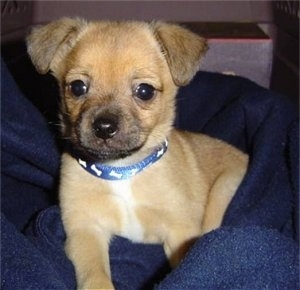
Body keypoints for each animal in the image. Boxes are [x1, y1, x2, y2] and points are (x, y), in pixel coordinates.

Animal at [27, 18, 248, 290]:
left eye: (144, 91)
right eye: (77, 87)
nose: (104, 127)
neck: (122, 171)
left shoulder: (180, 230)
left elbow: (185, 268)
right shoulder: (85, 230)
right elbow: (95, 275)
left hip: (225, 188)